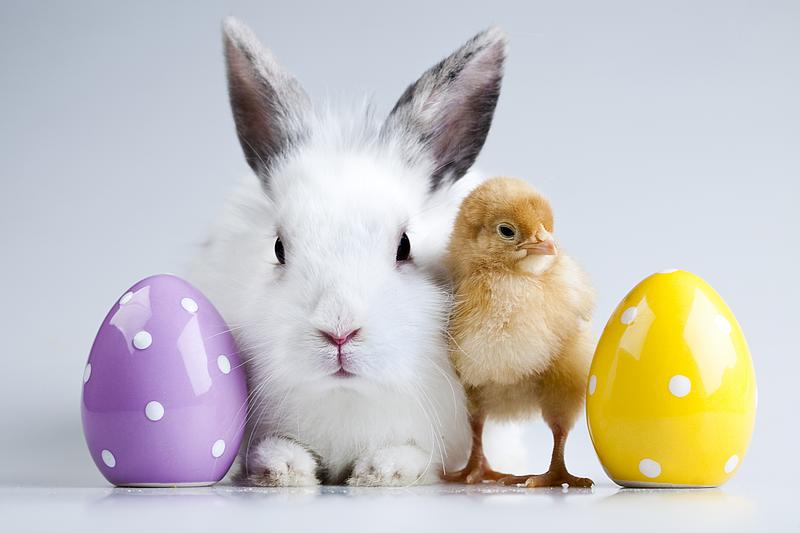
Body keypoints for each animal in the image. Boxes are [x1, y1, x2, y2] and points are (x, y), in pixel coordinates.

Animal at [189, 17, 506, 486]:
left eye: (405, 246)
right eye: (279, 248)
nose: (339, 332)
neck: (346, 396)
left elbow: (418, 456)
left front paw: (382, 471)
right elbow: (272, 449)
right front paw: (284, 468)